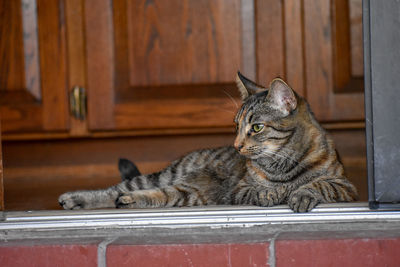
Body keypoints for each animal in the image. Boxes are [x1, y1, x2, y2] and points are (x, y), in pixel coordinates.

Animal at [57, 72, 358, 213]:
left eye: (256, 127)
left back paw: (128, 201)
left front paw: (301, 193)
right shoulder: (238, 190)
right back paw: (75, 198)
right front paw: (271, 192)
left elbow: (319, 184)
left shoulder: (346, 186)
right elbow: (258, 189)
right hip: (166, 177)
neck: (281, 164)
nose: (236, 146)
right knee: (114, 190)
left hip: (186, 194)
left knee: (155, 196)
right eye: (236, 126)